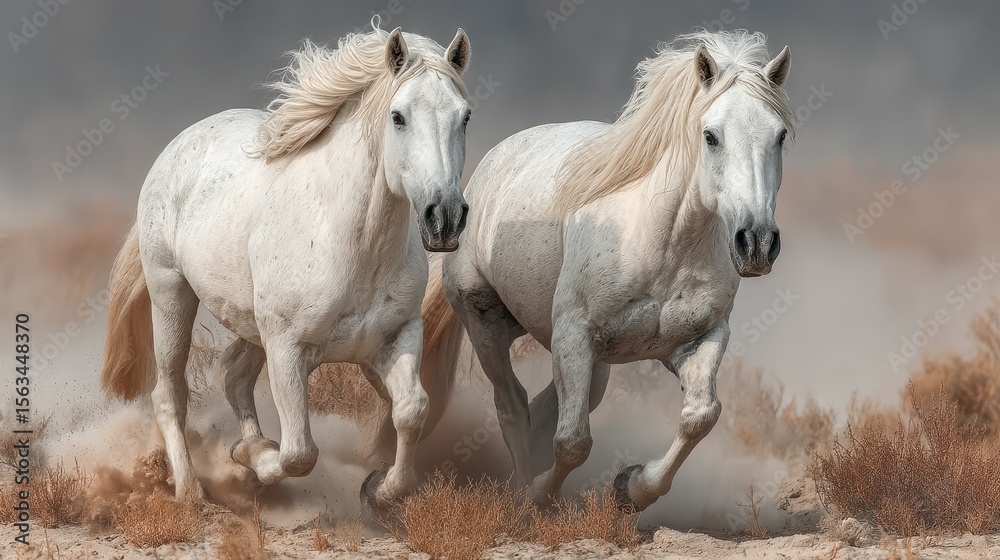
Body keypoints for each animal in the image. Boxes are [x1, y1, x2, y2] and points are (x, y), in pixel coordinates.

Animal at [98, 25, 473, 510]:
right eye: (398, 117)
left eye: (464, 116)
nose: (444, 217)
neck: (354, 248)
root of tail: (180, 143)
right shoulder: (287, 349)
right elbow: (299, 452)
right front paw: (253, 457)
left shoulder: (399, 334)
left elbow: (411, 411)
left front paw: (378, 489)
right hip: (171, 295)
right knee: (170, 394)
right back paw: (192, 492)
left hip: (248, 320)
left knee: (234, 374)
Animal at [418, 30, 795, 511]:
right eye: (711, 136)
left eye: (779, 136)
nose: (757, 242)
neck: (662, 244)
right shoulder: (574, 336)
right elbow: (573, 442)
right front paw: (541, 497)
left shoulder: (700, 338)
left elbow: (700, 417)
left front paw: (631, 487)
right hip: (486, 321)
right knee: (513, 406)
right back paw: (519, 493)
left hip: (591, 360)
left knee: (544, 406)